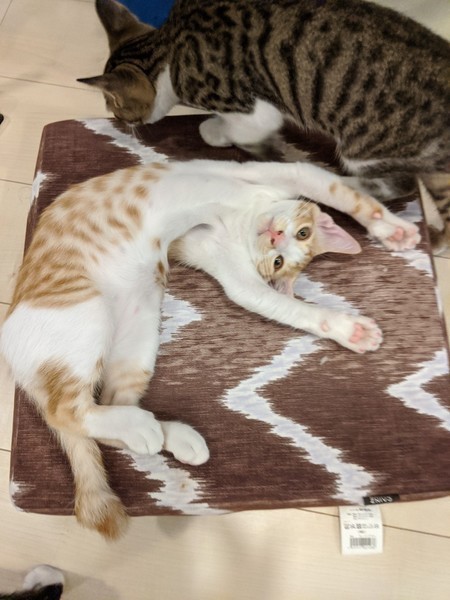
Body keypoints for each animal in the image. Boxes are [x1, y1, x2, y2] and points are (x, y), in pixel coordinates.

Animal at [0, 159, 419, 539]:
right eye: (299, 234)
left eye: (281, 258)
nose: (273, 235)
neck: (243, 219)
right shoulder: (265, 175)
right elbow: (343, 193)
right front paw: (393, 228)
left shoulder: (233, 272)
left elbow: (279, 302)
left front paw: (345, 326)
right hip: (87, 313)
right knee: (63, 412)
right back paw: (143, 428)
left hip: (139, 327)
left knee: (108, 402)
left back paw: (166, 435)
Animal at [78, 0, 450, 251]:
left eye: (114, 107)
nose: (116, 120)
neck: (169, 49)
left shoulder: (254, 112)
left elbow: (239, 131)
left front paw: (217, 131)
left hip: (365, 145)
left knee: (400, 182)